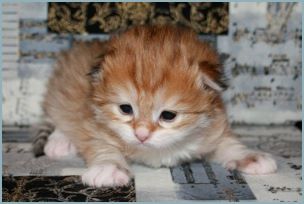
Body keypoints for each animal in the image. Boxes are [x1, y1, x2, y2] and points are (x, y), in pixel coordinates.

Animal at [32, 24, 276, 187]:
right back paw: (60, 141)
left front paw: (249, 156)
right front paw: (109, 167)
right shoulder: (93, 122)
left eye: (168, 115)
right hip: (63, 89)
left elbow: (227, 143)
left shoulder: (213, 126)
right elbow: (101, 145)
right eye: (126, 109)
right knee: (61, 114)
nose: (141, 135)